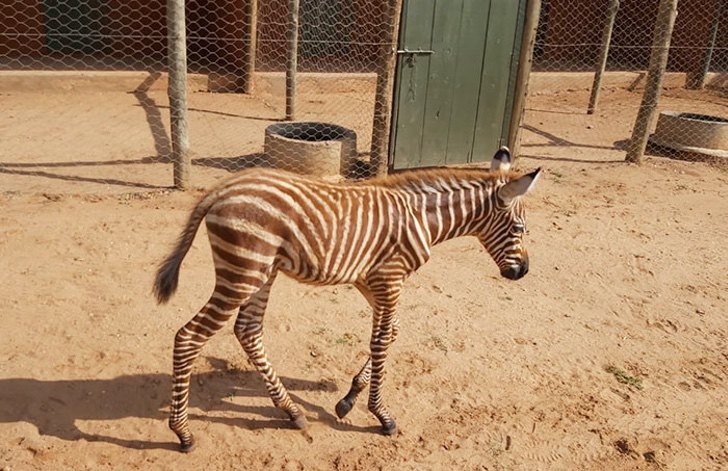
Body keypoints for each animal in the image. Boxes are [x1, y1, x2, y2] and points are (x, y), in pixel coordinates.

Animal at [154, 147, 540, 452]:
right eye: (520, 229)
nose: (522, 272)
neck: (423, 218)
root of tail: (223, 188)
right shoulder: (389, 278)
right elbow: (382, 340)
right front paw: (381, 415)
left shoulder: (369, 280)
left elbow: (392, 332)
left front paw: (348, 399)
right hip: (242, 273)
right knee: (189, 336)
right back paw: (183, 433)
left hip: (261, 272)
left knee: (247, 330)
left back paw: (292, 412)